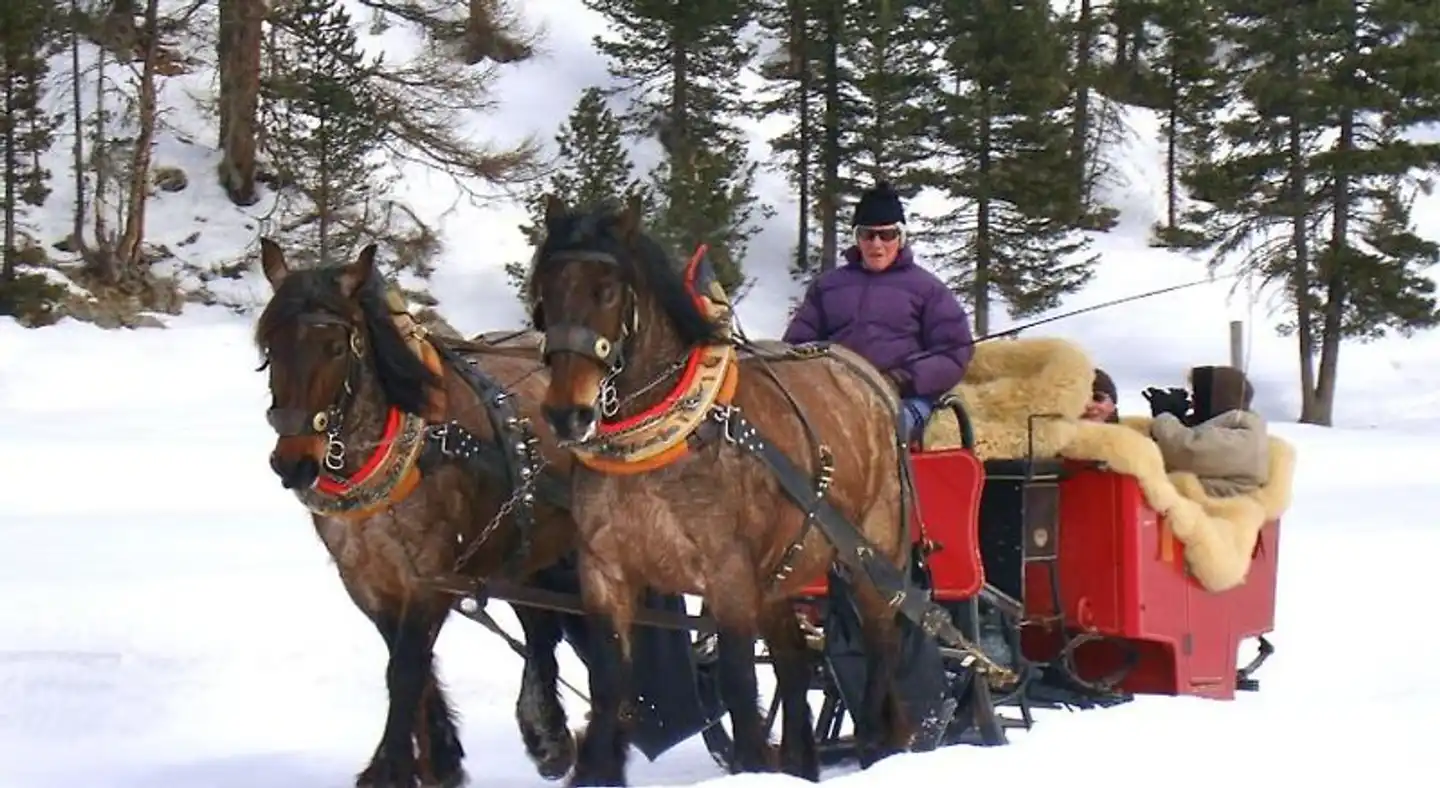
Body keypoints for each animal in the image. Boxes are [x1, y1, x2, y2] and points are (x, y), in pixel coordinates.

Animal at [254, 240, 584, 788]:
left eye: (336, 348)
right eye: (268, 350)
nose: (293, 462)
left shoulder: (431, 574)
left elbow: (406, 667)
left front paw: (391, 768)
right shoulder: (367, 578)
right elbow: (409, 663)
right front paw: (439, 759)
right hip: (525, 552)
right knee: (542, 627)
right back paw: (549, 737)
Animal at [527, 195, 910, 783]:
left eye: (607, 290)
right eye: (544, 291)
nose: (567, 414)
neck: (658, 443)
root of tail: (875, 383)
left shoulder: (728, 578)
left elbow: (738, 683)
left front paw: (752, 763)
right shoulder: (606, 570)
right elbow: (610, 682)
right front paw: (595, 769)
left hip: (872, 556)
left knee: (882, 646)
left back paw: (872, 743)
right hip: (783, 571)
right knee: (795, 661)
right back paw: (802, 763)